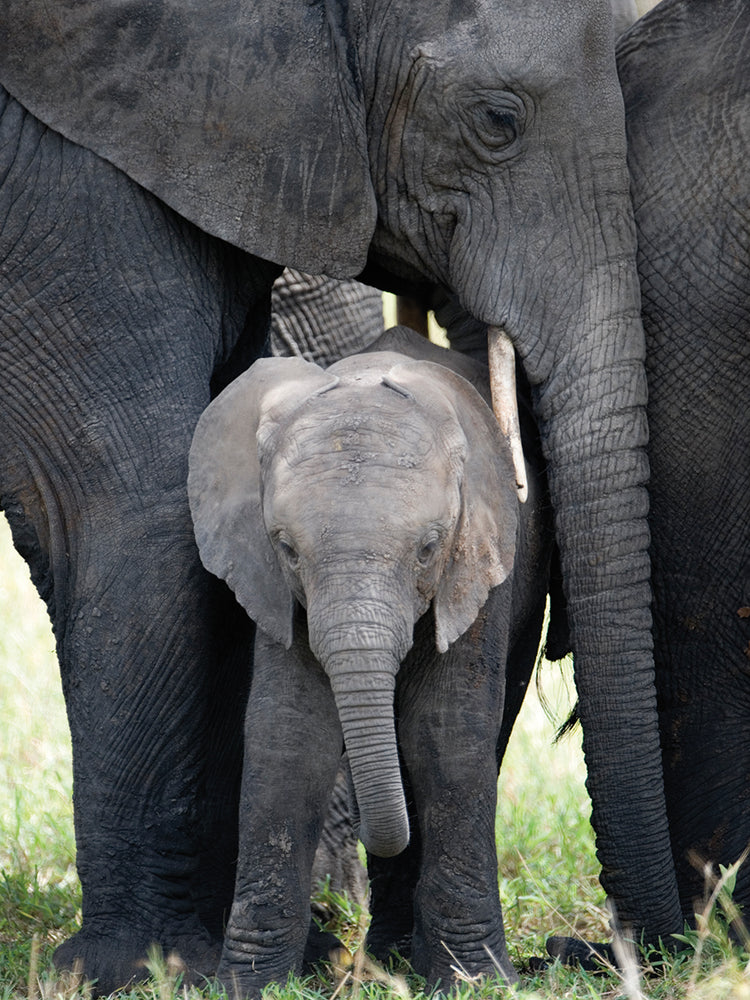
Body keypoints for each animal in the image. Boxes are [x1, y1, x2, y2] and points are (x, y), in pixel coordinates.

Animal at [188, 326, 554, 990]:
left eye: (428, 549)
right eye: (287, 549)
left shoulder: (479, 559)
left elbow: (446, 734)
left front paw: (477, 982)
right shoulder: (275, 587)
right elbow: (290, 735)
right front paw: (248, 985)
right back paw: (389, 956)